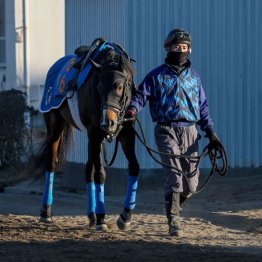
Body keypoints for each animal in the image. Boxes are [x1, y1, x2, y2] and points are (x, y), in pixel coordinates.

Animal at [36, 39, 140, 231]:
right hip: (56, 125)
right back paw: (46, 212)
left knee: (87, 169)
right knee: (51, 163)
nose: (108, 122)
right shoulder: (95, 132)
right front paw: (101, 218)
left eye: (120, 86)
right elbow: (100, 173)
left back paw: (91, 215)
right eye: (99, 86)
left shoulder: (127, 132)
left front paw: (125, 216)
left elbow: (134, 167)